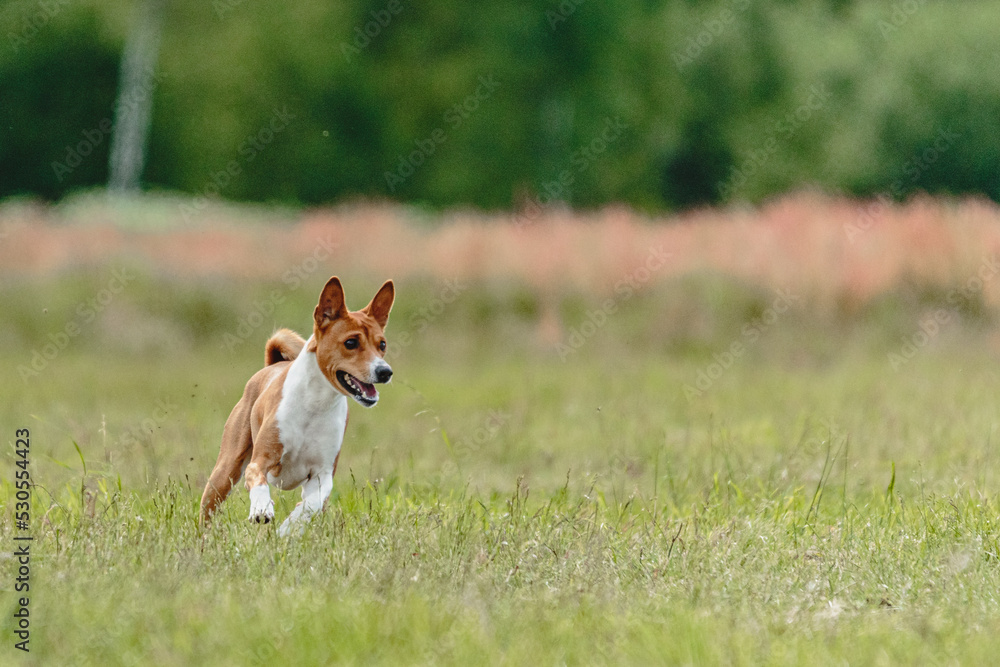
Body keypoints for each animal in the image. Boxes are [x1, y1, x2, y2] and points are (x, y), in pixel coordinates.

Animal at [200, 276, 394, 536]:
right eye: (351, 342)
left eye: (381, 344)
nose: (385, 371)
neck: (316, 404)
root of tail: (272, 365)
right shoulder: (260, 460)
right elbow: (258, 481)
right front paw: (261, 508)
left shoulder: (323, 475)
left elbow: (310, 505)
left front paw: (288, 530)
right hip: (225, 471)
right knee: (208, 510)